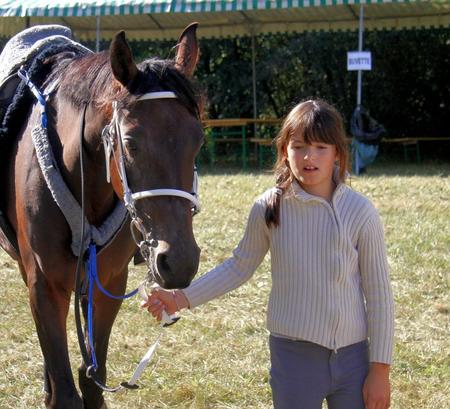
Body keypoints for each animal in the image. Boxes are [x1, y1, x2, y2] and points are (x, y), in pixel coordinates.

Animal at [0, 23, 203, 408]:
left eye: (197, 140)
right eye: (131, 142)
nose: (179, 261)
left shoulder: (107, 281)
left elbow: (92, 379)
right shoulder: (45, 284)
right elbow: (66, 391)